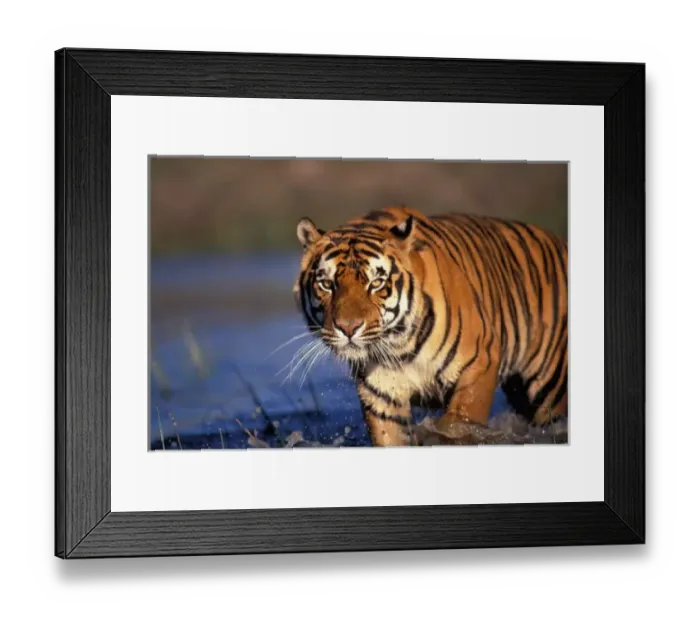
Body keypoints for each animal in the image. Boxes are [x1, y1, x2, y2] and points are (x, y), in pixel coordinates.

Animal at [293, 205, 568, 447]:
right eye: (327, 284)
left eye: (376, 283)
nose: (348, 328)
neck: (399, 347)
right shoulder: (380, 392)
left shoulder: (479, 363)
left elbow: (458, 423)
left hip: (552, 389)